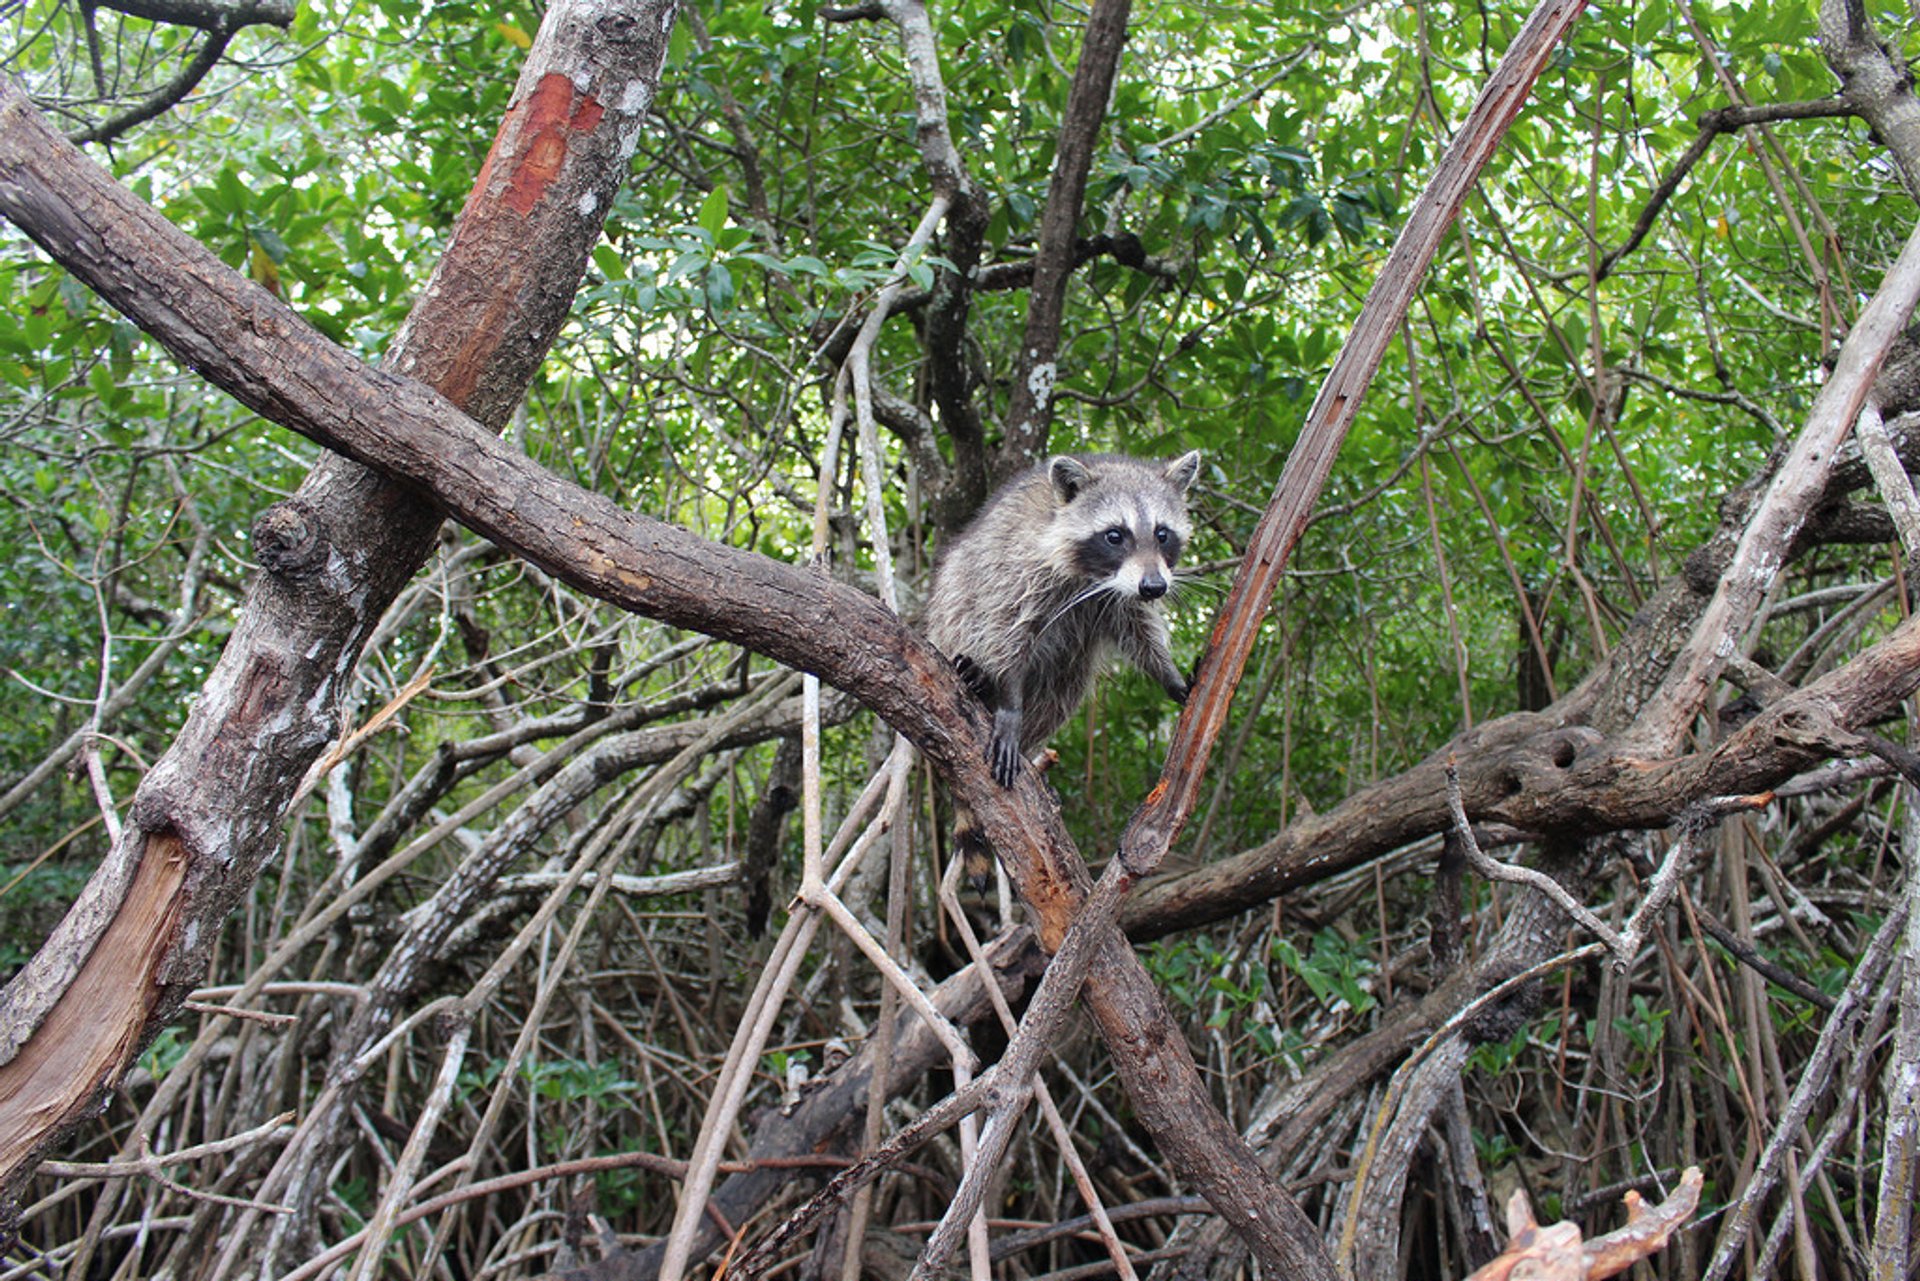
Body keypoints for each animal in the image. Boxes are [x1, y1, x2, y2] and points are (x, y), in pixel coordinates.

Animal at [925, 449, 1198, 883]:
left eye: (1162, 533)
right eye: (1115, 535)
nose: (1155, 587)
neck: (1097, 578)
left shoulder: (1118, 599)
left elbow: (1140, 631)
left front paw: (1169, 675)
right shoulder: (1019, 570)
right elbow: (1006, 632)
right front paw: (1009, 706)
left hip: (1068, 665)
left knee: (1062, 690)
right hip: (947, 613)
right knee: (962, 606)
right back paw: (979, 680)